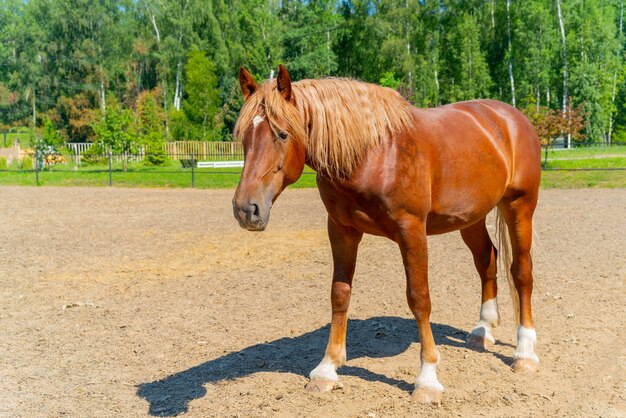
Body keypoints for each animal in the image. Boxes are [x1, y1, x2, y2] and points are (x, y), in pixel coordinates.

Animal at [232, 64, 540, 402]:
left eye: (283, 134)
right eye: (244, 137)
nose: (246, 209)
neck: (373, 153)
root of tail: (511, 117)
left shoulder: (412, 230)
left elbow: (419, 298)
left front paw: (427, 379)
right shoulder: (341, 230)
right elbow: (339, 294)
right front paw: (327, 369)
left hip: (519, 206)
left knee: (521, 272)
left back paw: (525, 353)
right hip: (471, 218)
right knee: (487, 261)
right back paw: (482, 331)